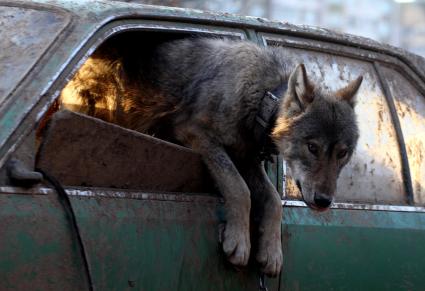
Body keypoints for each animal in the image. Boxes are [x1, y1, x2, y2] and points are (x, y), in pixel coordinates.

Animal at [60, 37, 362, 278]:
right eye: (312, 147)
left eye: (342, 153)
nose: (324, 202)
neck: (261, 96)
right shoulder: (196, 134)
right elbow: (239, 189)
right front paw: (239, 242)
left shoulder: (246, 158)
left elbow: (274, 200)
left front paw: (272, 253)